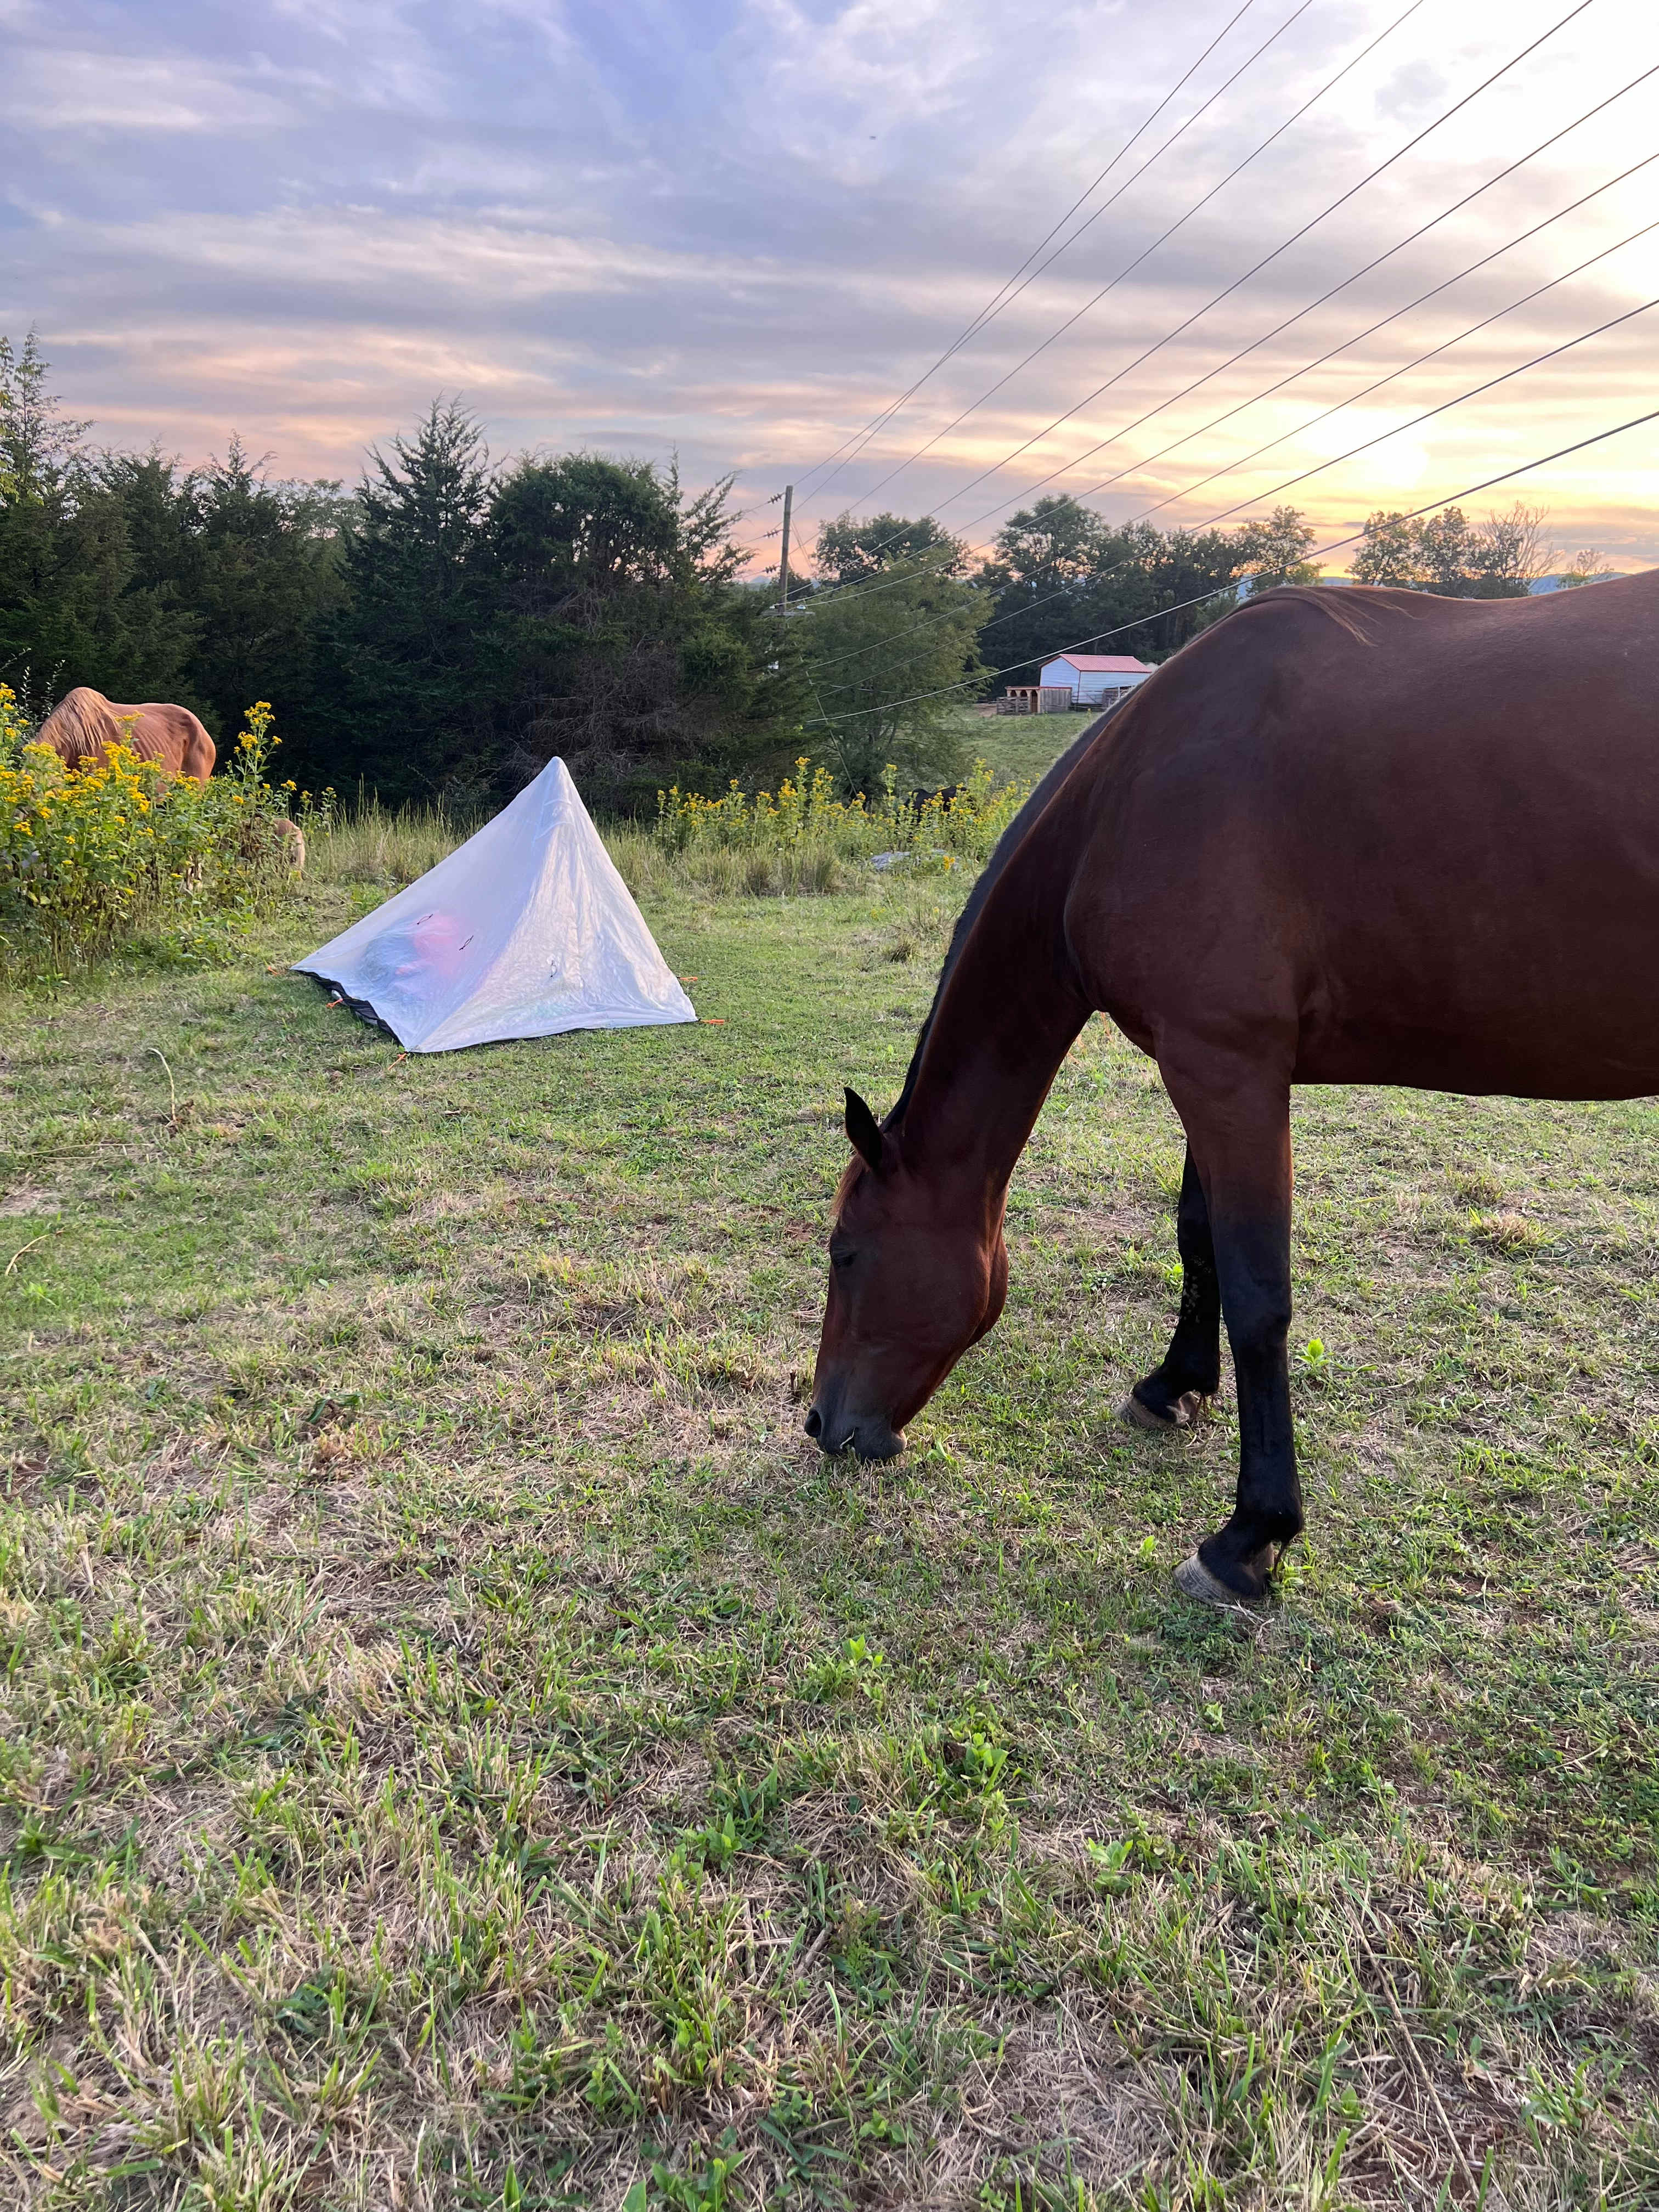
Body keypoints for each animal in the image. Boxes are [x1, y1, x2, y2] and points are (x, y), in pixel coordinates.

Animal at [807, 572, 1659, 1607]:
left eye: (846, 1254)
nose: (821, 1424)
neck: (1127, 797)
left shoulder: (1228, 1070)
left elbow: (1258, 1292)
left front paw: (1250, 1536)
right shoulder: (1203, 1064)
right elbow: (1196, 1237)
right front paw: (1171, 1385)